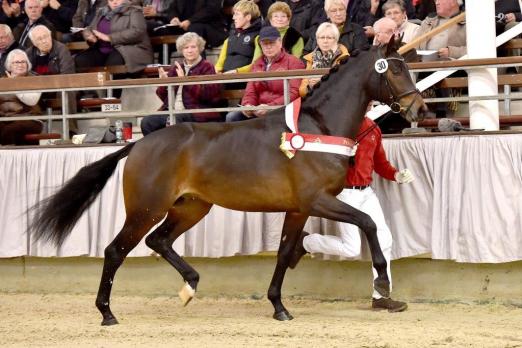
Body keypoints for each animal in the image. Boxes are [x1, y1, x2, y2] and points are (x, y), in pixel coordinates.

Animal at [29, 39, 422, 324]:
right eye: (396, 69)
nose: (417, 108)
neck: (317, 128)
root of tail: (139, 143)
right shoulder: (318, 200)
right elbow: (368, 222)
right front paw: (383, 281)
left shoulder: (298, 209)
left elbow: (284, 253)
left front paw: (279, 306)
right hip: (146, 208)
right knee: (116, 251)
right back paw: (107, 313)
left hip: (191, 207)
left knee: (159, 241)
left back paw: (190, 286)